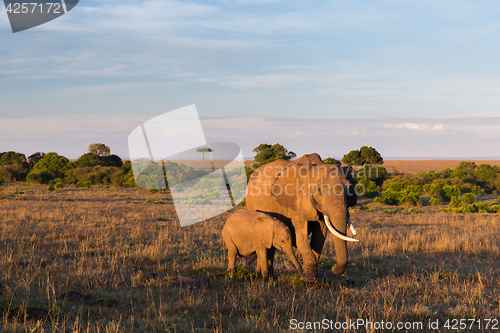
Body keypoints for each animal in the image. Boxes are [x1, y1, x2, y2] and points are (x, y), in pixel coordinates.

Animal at [245, 152, 356, 280]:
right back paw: (264, 275)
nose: (333, 268)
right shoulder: (297, 203)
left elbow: (319, 237)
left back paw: (270, 276)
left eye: (349, 190)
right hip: (251, 203)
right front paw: (308, 280)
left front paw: (312, 278)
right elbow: (301, 239)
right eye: (319, 191)